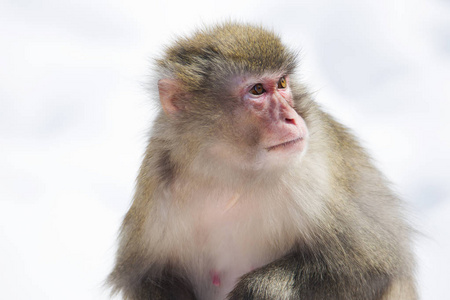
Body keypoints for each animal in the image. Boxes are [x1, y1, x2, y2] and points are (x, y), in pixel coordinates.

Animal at [107, 23, 416, 300]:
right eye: (257, 90)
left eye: (282, 83)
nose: (291, 117)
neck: (229, 174)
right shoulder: (158, 187)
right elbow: (144, 276)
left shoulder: (313, 178)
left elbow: (371, 266)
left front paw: (258, 289)